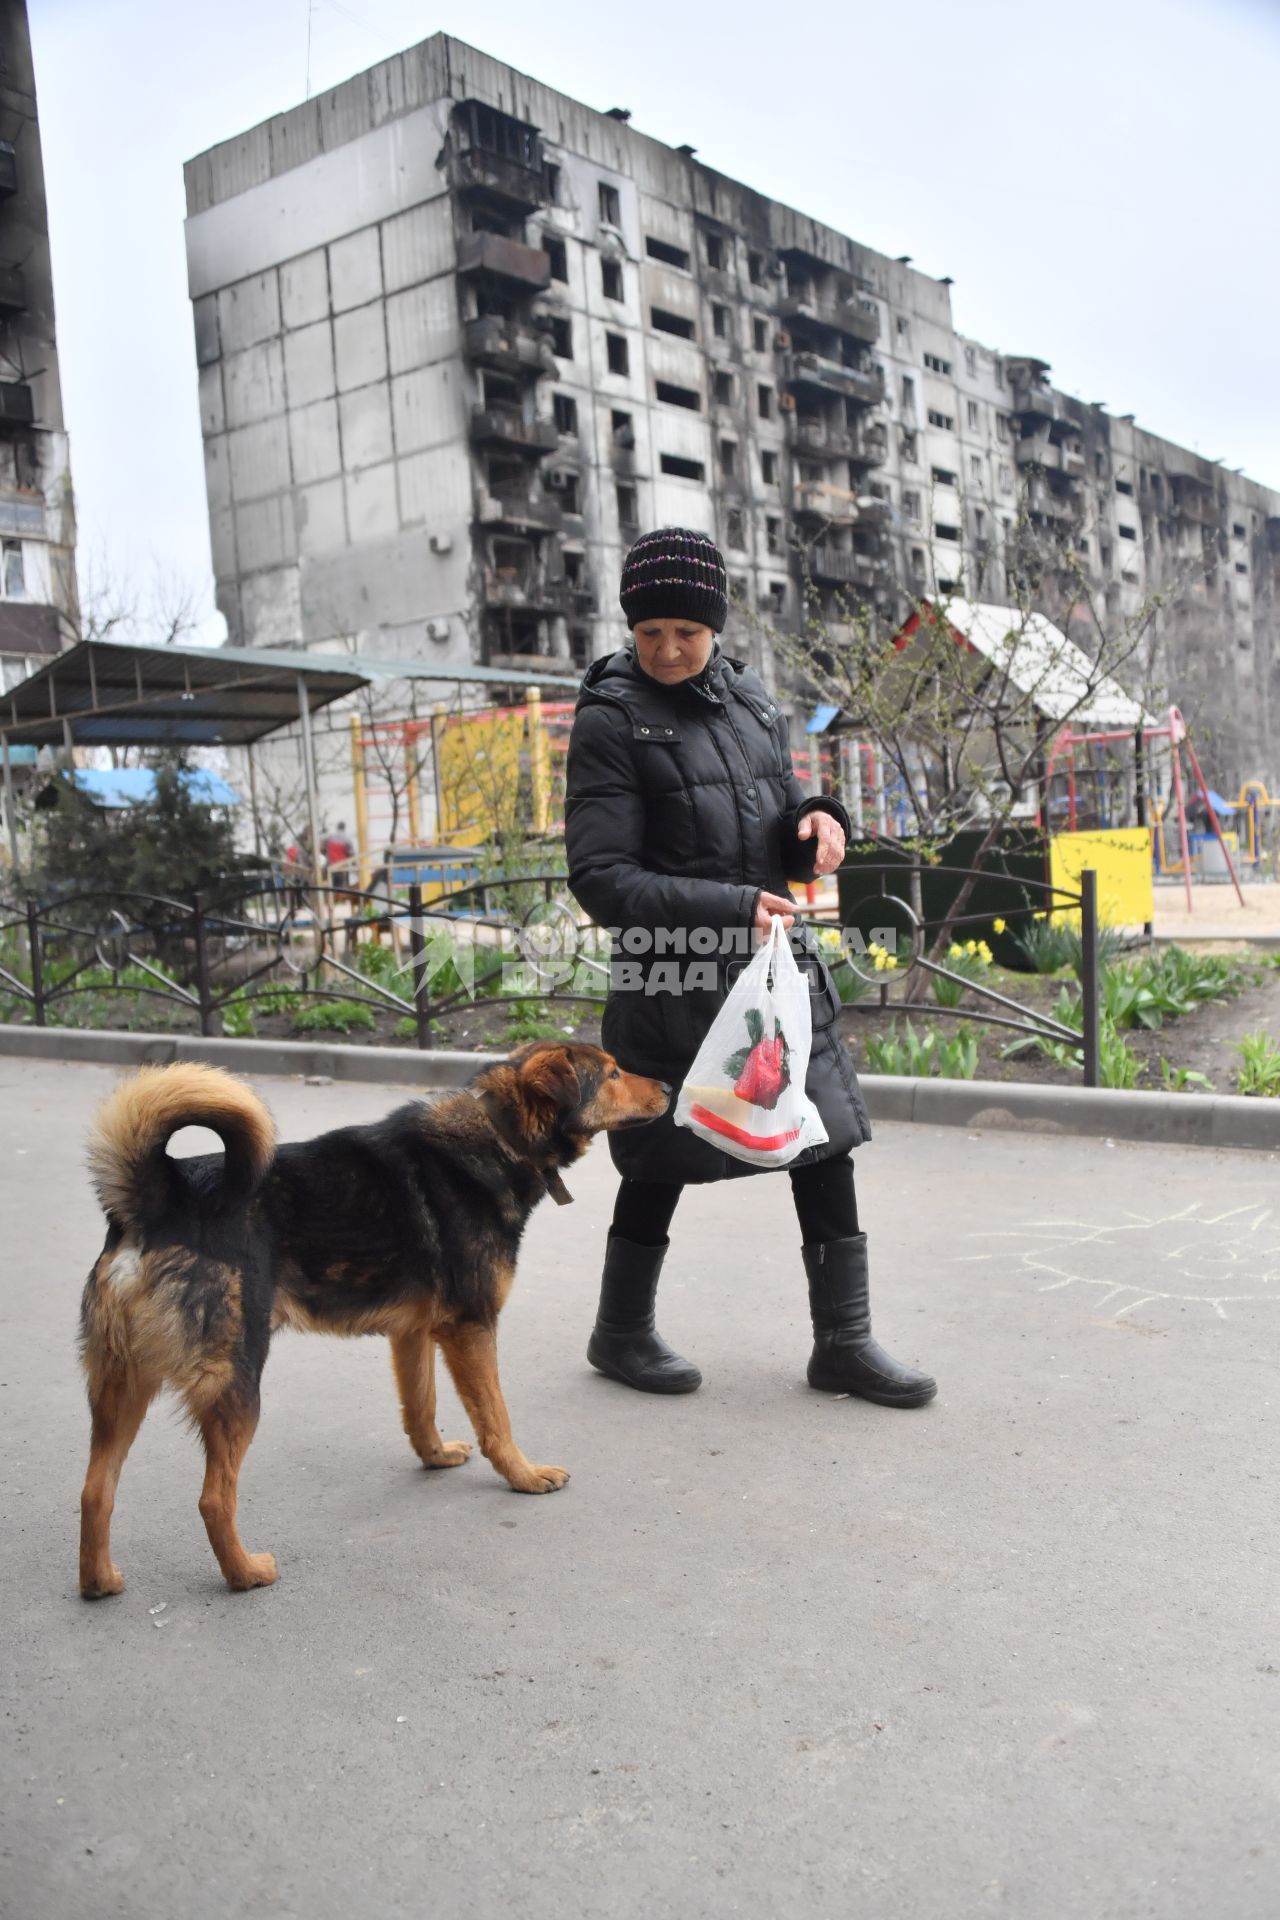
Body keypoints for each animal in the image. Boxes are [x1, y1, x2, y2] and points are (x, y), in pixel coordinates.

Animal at [77, 1044, 671, 1597]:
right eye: (612, 1073)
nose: (668, 1085)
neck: (499, 1134)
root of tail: (156, 1202)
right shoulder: (471, 1327)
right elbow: (496, 1420)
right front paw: (523, 1476)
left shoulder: (413, 1334)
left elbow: (421, 1409)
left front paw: (436, 1458)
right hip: (234, 1380)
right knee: (212, 1499)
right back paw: (245, 1573)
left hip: (122, 1387)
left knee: (95, 1490)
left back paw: (98, 1581)